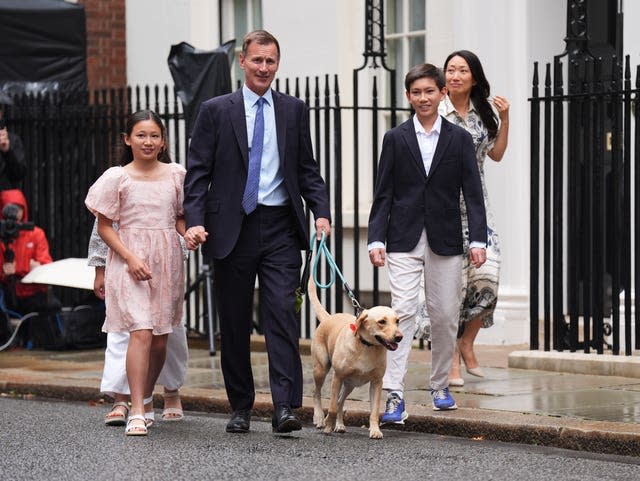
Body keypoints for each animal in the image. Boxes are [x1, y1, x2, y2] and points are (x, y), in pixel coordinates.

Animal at [308, 276, 400, 436]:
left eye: (397, 321)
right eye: (382, 321)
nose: (400, 337)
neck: (366, 346)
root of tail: (328, 317)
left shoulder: (376, 382)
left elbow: (374, 411)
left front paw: (375, 431)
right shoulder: (337, 378)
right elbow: (332, 407)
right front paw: (327, 428)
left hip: (350, 384)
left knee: (340, 401)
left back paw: (338, 424)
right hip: (321, 369)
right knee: (317, 392)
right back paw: (319, 418)